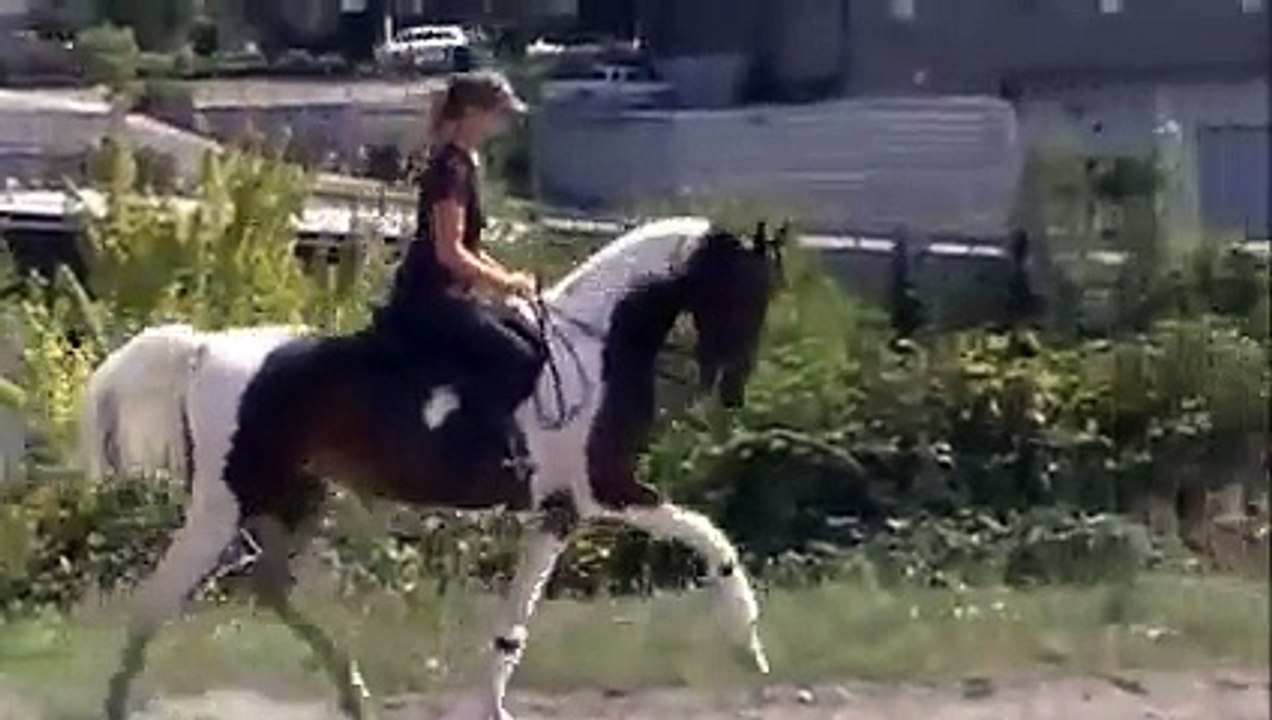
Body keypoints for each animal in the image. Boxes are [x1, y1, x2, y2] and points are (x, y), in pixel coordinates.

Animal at [81, 216, 787, 720]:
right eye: (745, 292)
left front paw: (492, 707)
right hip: (225, 503)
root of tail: (203, 349)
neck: (600, 345)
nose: (730, 390)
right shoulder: (606, 490)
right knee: (160, 599)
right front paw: (749, 644)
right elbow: (712, 538)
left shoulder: (559, 513)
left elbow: (514, 625)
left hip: (294, 495)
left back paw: (355, 695)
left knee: (270, 588)